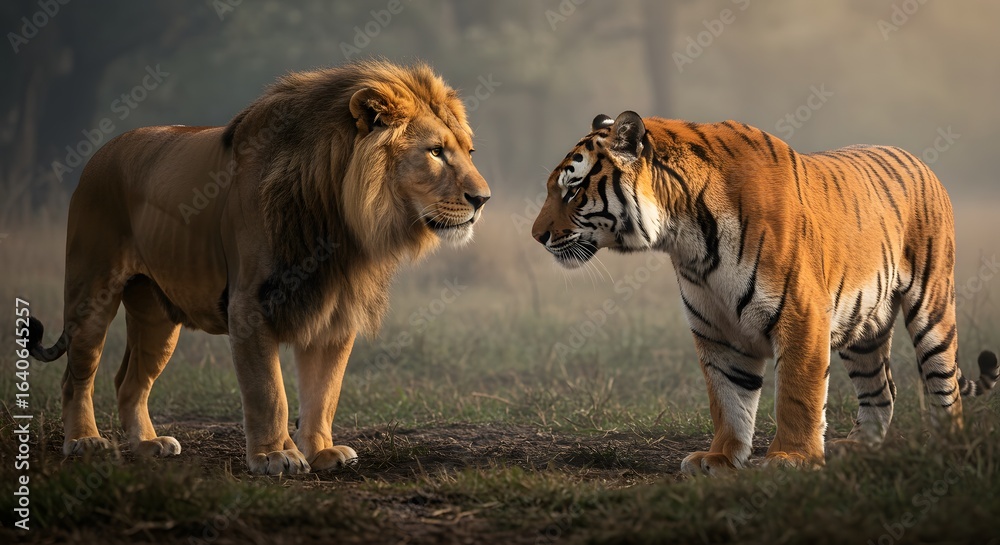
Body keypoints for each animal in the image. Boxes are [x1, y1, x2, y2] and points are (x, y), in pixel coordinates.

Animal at [27, 60, 491, 475]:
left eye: (468, 151)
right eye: (435, 152)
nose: (483, 199)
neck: (341, 224)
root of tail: (101, 152)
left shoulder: (336, 311)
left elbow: (324, 392)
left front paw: (320, 452)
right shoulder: (250, 305)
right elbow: (269, 391)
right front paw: (275, 456)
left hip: (157, 313)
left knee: (129, 381)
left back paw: (146, 445)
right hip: (92, 291)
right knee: (77, 375)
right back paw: (85, 441)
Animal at [531, 111, 999, 474]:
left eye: (573, 190)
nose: (537, 236)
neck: (686, 238)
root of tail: (919, 160)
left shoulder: (801, 315)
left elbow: (796, 393)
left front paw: (791, 459)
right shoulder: (716, 329)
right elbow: (728, 397)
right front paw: (719, 458)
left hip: (931, 307)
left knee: (944, 385)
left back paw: (946, 447)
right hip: (863, 325)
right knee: (882, 388)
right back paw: (858, 447)